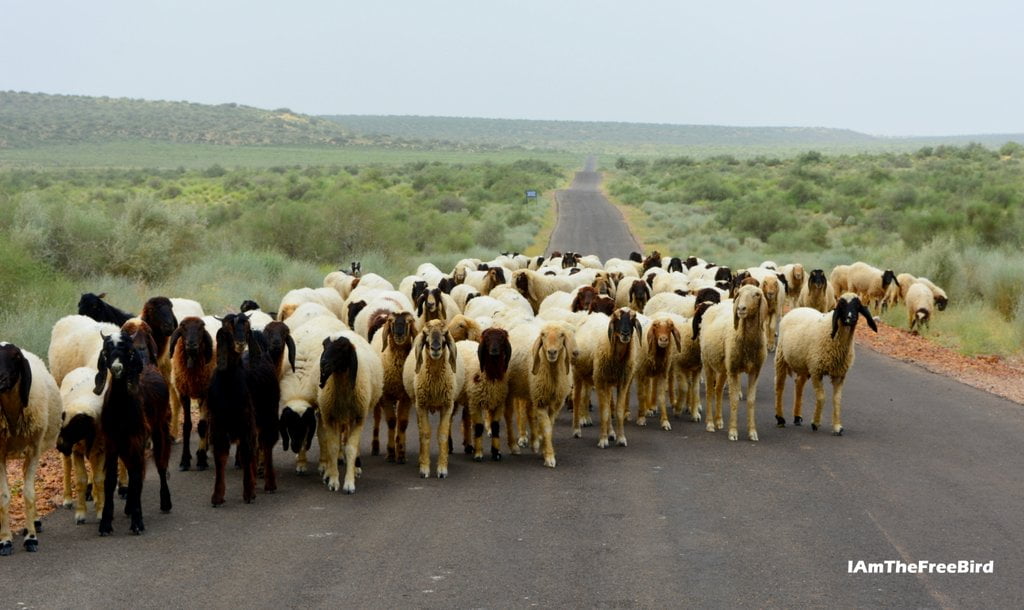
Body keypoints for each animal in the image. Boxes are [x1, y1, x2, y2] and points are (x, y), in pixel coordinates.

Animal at [0, 339, 61, 556]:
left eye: (16, 357)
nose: (0, 378)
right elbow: (4, 496)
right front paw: (5, 540)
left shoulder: (34, 450)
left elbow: (29, 494)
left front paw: (31, 538)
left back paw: (33, 523)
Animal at [55, 366, 106, 524]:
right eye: (62, 428)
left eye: (77, 427)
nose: (59, 447)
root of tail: (81, 368)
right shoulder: (76, 450)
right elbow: (81, 480)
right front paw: (80, 513)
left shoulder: (101, 449)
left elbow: (99, 478)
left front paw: (101, 510)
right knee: (66, 466)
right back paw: (67, 499)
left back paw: (95, 497)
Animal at [93, 329, 172, 532]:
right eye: (106, 352)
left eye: (128, 352)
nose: (117, 368)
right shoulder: (112, 441)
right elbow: (110, 479)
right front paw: (106, 523)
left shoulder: (137, 439)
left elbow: (136, 476)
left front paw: (137, 522)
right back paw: (129, 506)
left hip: (159, 429)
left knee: (160, 464)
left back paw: (165, 502)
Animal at [403, 317, 468, 478]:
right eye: (426, 334)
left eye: (445, 334)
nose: (436, 348)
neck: (435, 384)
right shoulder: (422, 405)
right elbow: (425, 434)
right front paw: (424, 469)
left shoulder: (447, 406)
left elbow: (443, 434)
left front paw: (442, 469)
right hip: (417, 404)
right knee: (420, 430)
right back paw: (420, 459)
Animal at [774, 292, 880, 431]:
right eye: (841, 305)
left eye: (857, 306)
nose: (850, 318)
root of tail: (795, 310)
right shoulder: (817, 371)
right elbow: (821, 397)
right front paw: (815, 422)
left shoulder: (839, 375)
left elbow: (837, 400)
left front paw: (837, 426)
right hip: (781, 357)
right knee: (779, 387)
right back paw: (780, 418)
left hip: (805, 366)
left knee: (799, 385)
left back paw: (797, 417)